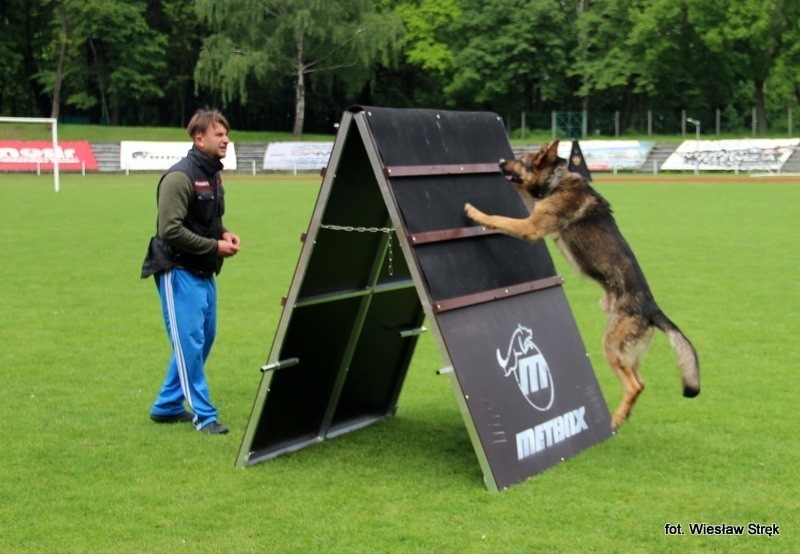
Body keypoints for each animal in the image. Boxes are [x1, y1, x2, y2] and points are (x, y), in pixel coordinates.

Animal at [462, 139, 700, 426]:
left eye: (521, 160)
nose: (499, 161)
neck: (555, 181)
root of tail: (651, 308)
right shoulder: (533, 214)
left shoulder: (530, 227)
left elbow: (499, 219)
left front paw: (475, 213)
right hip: (625, 351)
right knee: (640, 380)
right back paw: (623, 415)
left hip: (611, 345)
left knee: (635, 385)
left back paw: (616, 418)